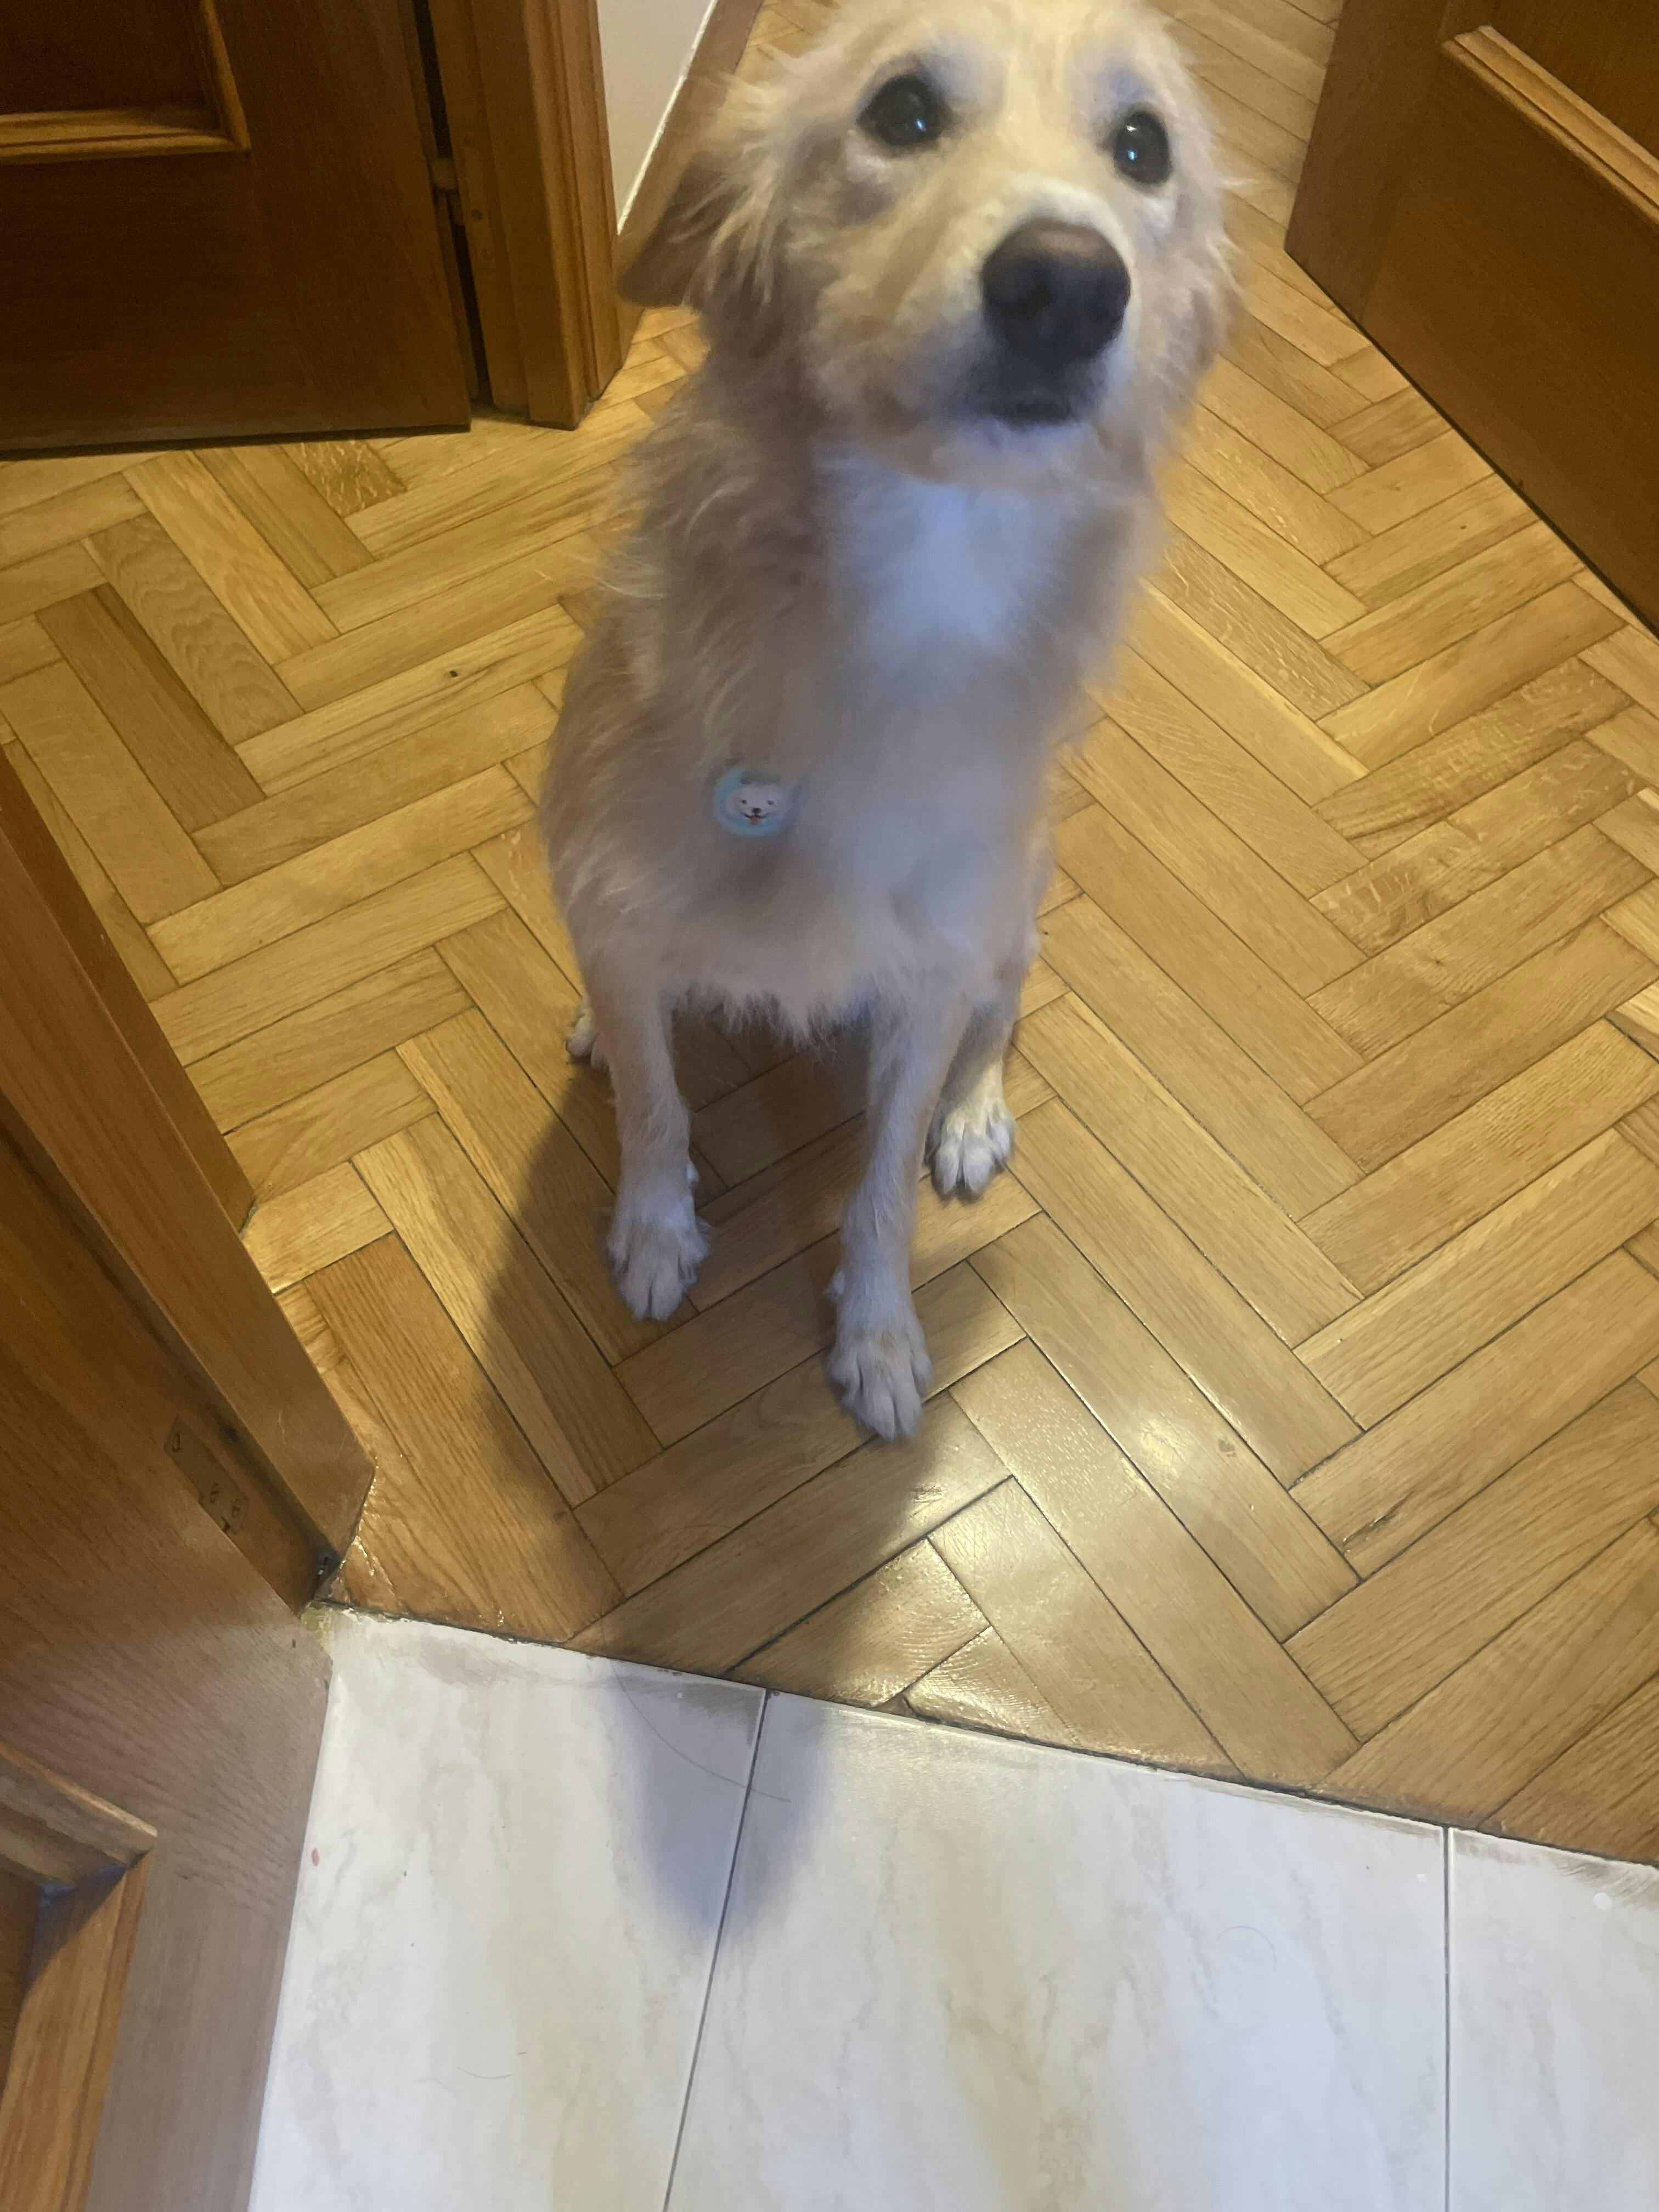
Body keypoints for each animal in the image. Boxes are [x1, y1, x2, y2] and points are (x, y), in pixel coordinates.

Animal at [544, 0, 1231, 1439]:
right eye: (902, 112)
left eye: (1143, 146)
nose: (1067, 287)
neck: (914, 585)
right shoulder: (621, 915)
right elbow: (655, 1108)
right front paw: (655, 1232)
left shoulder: (924, 985)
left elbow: (878, 1194)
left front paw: (876, 1333)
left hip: (1015, 908)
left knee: (1002, 1013)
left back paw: (974, 1117)